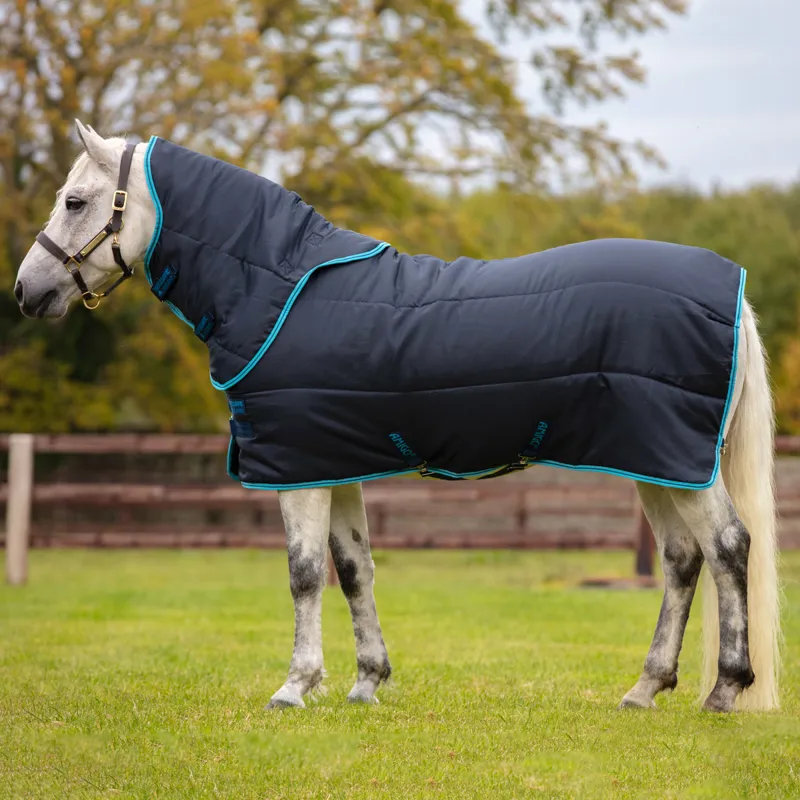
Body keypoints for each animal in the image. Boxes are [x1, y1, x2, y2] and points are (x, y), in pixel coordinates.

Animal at [15, 120, 780, 713]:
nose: (26, 290)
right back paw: (645, 689)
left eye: (75, 201)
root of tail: (733, 289)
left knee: (727, 547)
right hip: (655, 461)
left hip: (675, 461)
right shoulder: (333, 463)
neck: (276, 286)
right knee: (682, 559)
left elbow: (303, 573)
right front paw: (366, 683)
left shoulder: (297, 470)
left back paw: (725, 690)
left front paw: (295, 687)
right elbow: (355, 569)